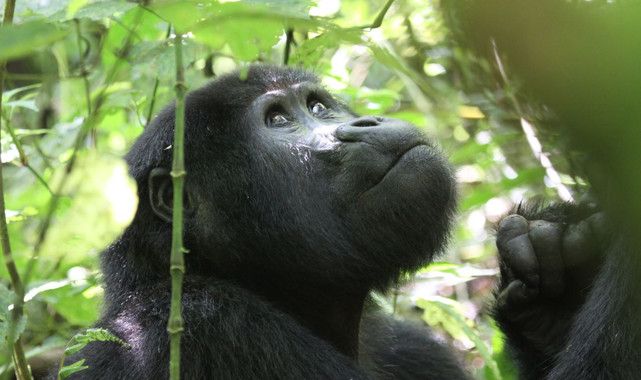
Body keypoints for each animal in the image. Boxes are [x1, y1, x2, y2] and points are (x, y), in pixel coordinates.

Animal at [58, 66, 608, 380]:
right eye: (278, 120)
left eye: (318, 105)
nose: (364, 122)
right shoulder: (205, 324)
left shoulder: (409, 348)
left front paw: (552, 277)